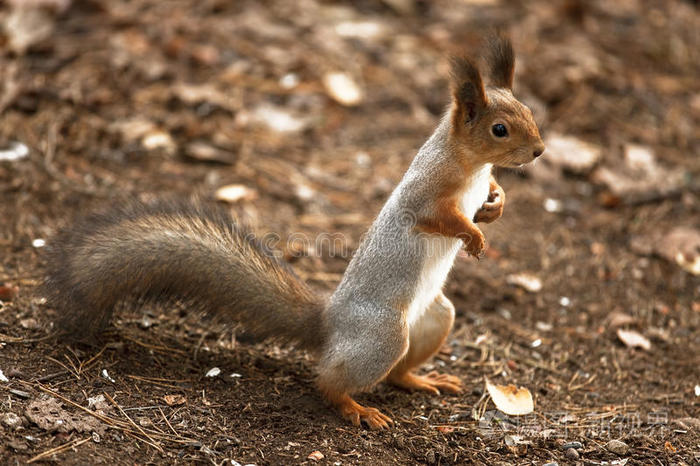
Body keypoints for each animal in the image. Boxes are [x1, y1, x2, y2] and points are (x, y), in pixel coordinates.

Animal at [41, 35, 548, 430]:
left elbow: (492, 195)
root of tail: (329, 322)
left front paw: (495, 206)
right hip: (383, 333)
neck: (471, 165)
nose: (541, 151)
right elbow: (439, 218)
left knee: (395, 372)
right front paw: (473, 236)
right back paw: (354, 407)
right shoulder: (425, 194)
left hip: (434, 319)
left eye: (528, 110)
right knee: (328, 380)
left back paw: (421, 379)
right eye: (500, 129)